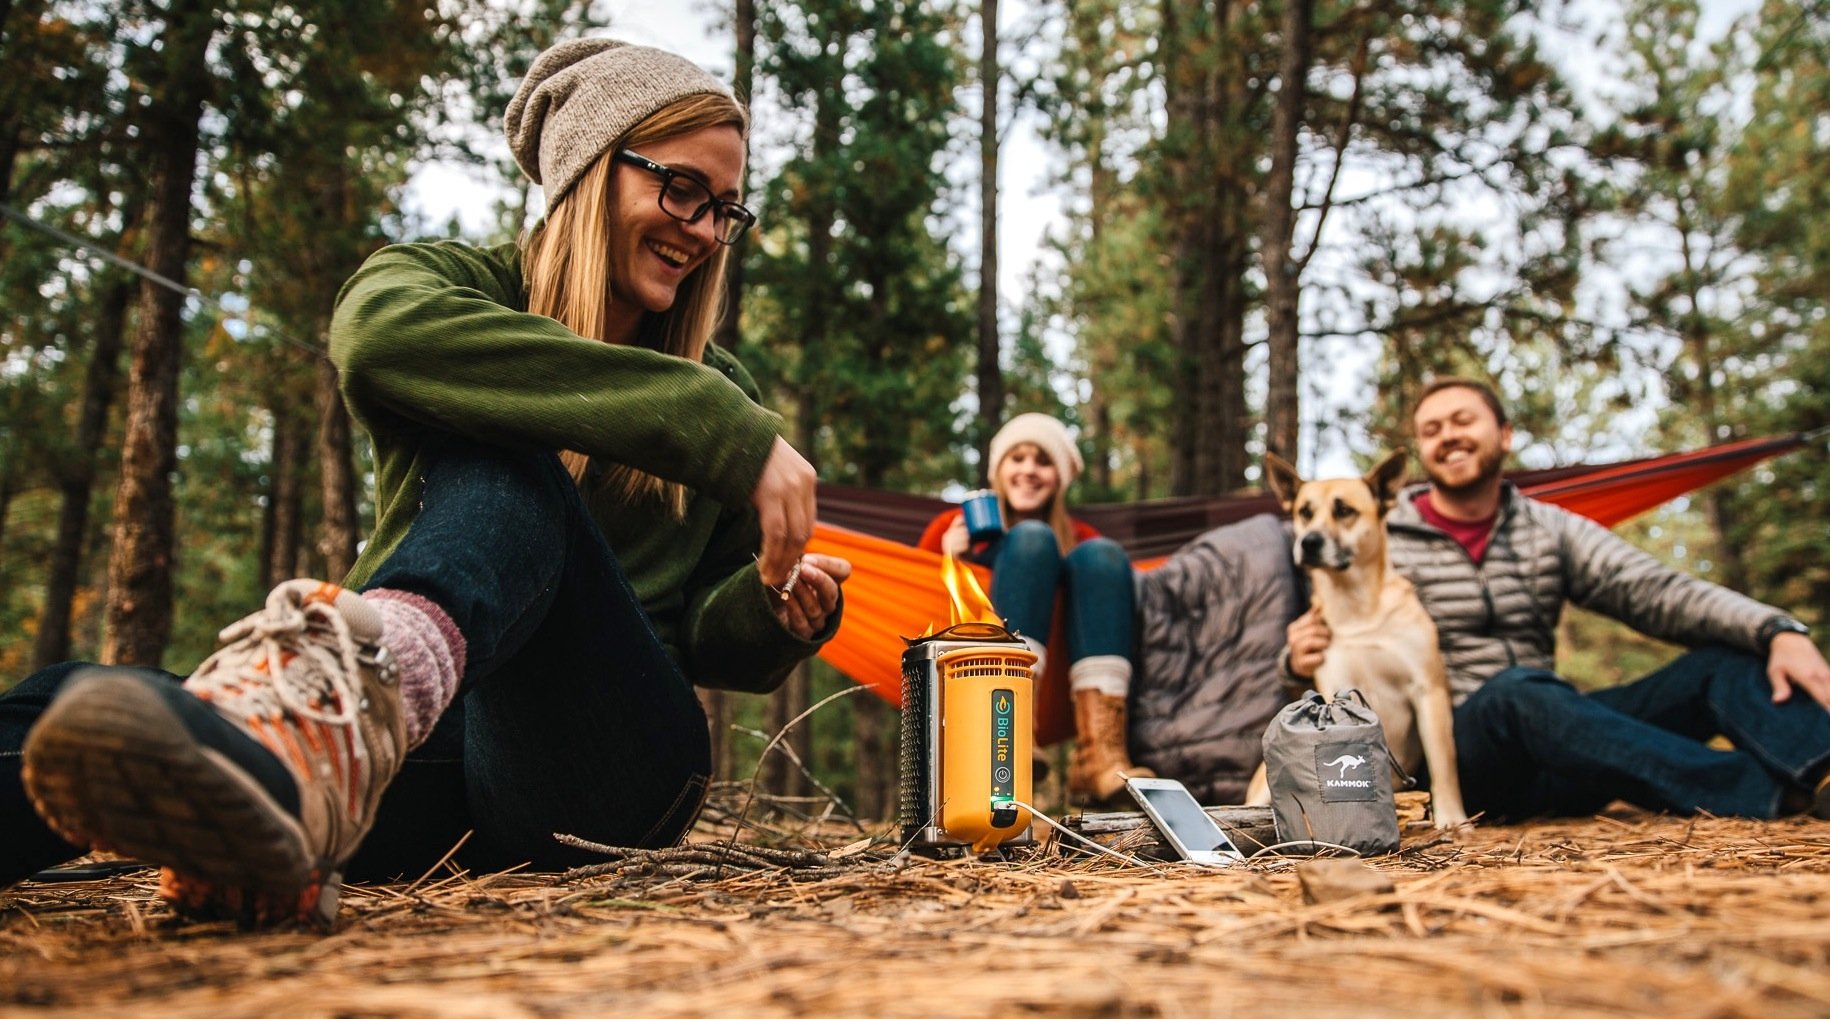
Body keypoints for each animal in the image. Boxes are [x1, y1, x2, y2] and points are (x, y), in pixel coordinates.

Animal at [1244, 451, 1471, 826]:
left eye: (1344, 510)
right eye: (1304, 511)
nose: (1309, 542)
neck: (1357, 609)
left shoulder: (1429, 690)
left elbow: (1444, 764)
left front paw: (1452, 818)